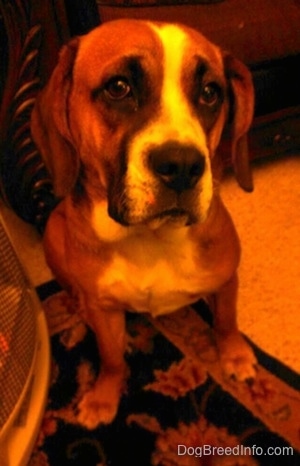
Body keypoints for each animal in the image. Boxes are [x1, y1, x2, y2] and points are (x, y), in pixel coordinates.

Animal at [31, 20, 256, 430]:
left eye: (210, 93)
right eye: (119, 87)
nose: (182, 166)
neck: (151, 238)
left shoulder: (226, 281)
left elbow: (226, 321)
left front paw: (234, 354)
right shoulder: (105, 311)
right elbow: (111, 358)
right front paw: (104, 396)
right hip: (53, 232)